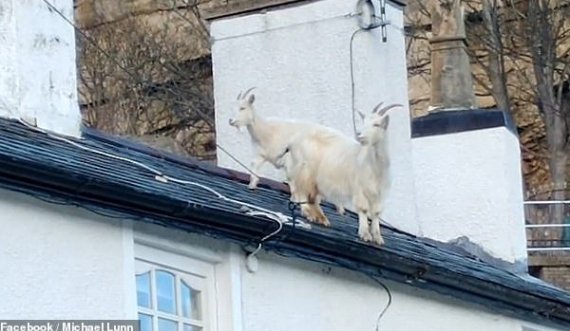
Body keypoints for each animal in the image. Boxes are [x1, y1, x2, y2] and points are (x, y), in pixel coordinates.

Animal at [229, 87, 344, 226]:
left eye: (243, 108)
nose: (230, 121)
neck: (266, 130)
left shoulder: (289, 160)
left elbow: (291, 181)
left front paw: (295, 201)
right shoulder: (261, 154)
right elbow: (254, 166)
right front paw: (252, 185)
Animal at [284, 102, 400, 245]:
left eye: (377, 124)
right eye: (364, 122)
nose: (360, 135)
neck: (374, 166)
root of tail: (295, 139)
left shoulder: (379, 194)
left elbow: (376, 213)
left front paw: (378, 238)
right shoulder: (359, 188)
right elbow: (363, 209)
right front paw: (365, 234)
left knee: (311, 196)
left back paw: (321, 218)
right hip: (304, 169)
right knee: (300, 191)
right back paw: (308, 213)